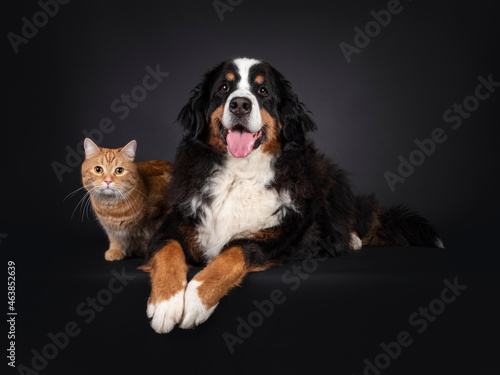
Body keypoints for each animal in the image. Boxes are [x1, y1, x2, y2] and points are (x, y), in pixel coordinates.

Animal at [143, 57, 444, 334]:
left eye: (262, 91)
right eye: (224, 88)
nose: (240, 104)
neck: (239, 172)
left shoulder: (274, 237)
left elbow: (230, 254)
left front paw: (195, 300)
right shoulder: (174, 223)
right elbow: (168, 251)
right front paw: (166, 303)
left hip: (325, 178)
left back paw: (351, 239)